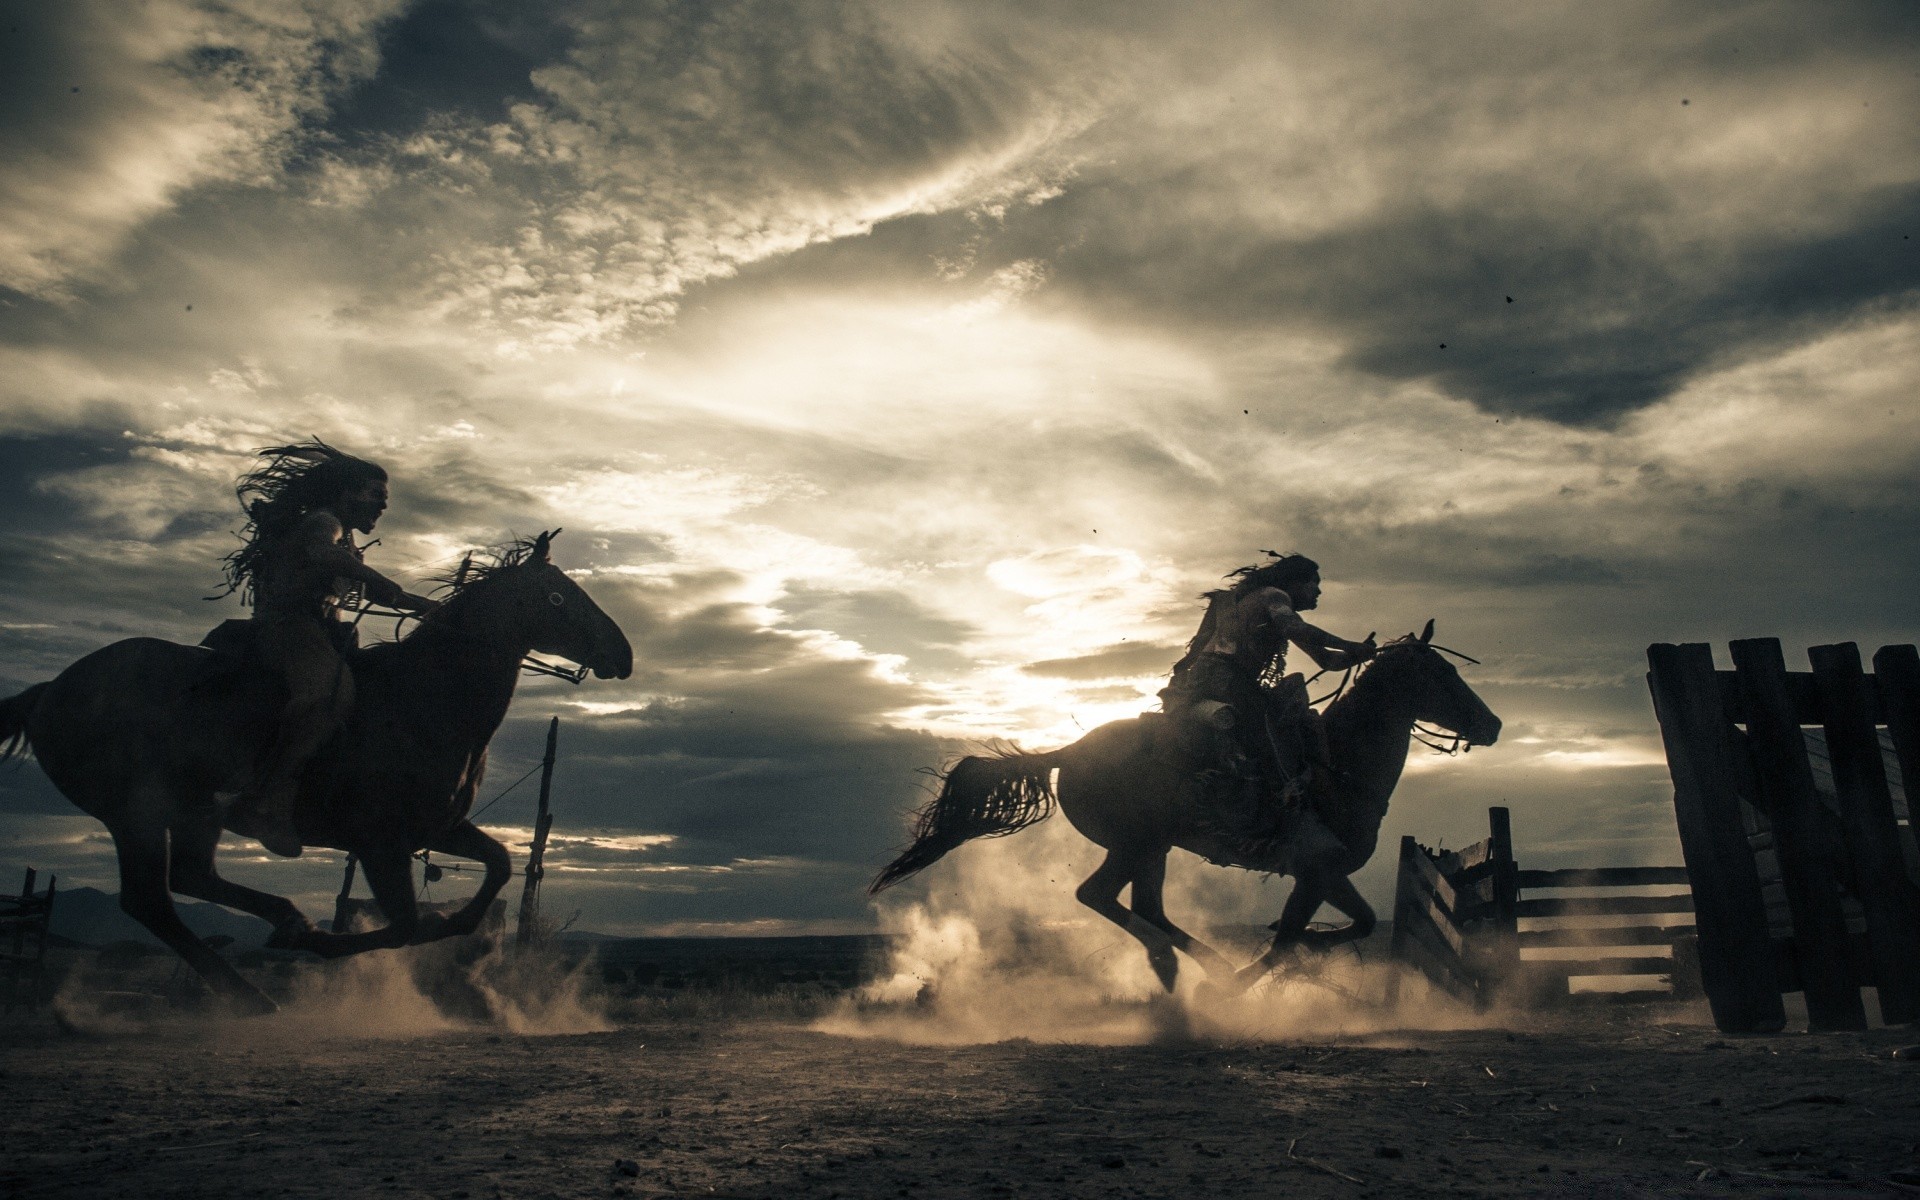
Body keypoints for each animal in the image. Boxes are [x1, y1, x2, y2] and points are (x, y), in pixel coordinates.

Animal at [0, 533, 633, 1013]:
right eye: (558, 597)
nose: (624, 654)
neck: (421, 698)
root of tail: (48, 692)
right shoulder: (380, 843)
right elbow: (406, 925)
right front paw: (328, 943)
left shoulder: (437, 829)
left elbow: (497, 865)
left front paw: (467, 941)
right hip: (139, 813)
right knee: (153, 899)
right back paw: (268, 964)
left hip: (187, 813)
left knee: (182, 884)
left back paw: (267, 958)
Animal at [871, 622, 1497, 990]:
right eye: (1442, 673)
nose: (1492, 724)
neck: (1337, 765)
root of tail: (1071, 750)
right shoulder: (1314, 869)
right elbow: (1294, 936)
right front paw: (1263, 971)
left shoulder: (1324, 873)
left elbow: (1357, 922)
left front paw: (1300, 954)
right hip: (1138, 843)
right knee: (1105, 897)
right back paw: (1193, 968)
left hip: (1153, 848)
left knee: (1139, 905)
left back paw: (1184, 967)